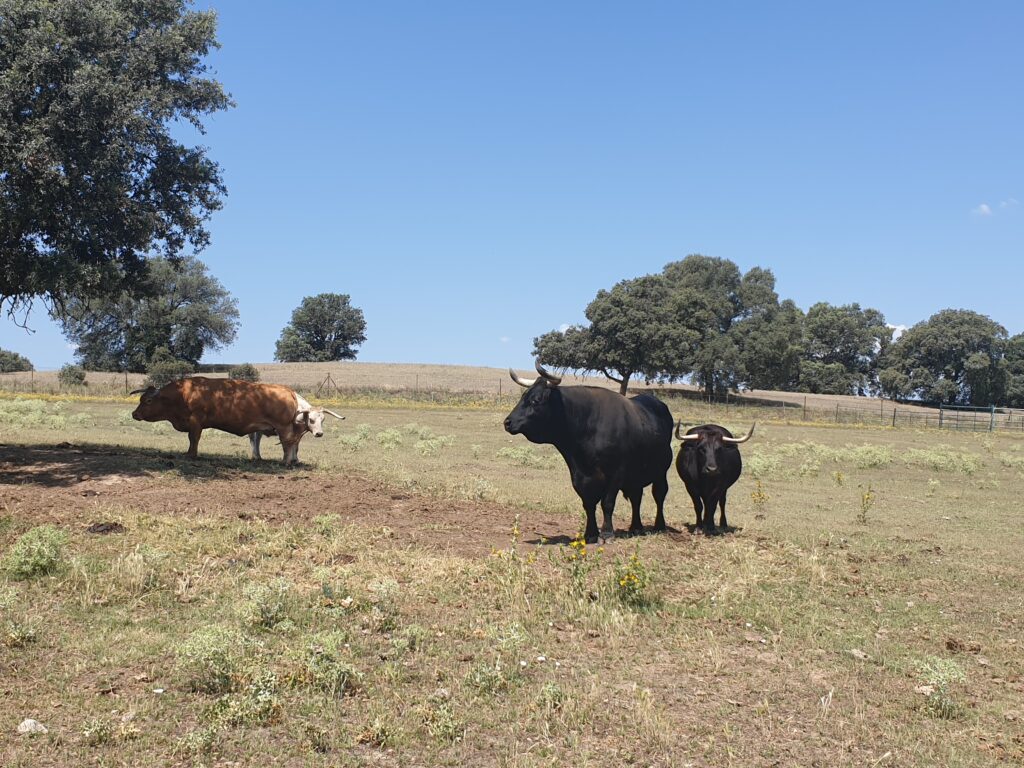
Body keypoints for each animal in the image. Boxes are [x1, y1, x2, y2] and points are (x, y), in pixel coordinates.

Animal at [130, 377, 342, 465]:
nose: (134, 414)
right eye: (141, 399)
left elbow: (193, 439)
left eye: (148, 401)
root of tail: (288, 390)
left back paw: (286, 461)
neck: (184, 394)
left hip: (283, 428)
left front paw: (191, 455)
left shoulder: (195, 422)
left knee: (288, 444)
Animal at [504, 361, 673, 544]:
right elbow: (588, 503)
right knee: (636, 497)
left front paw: (606, 533)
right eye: (523, 396)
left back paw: (659, 525)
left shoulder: (616, 473)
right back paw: (636, 527)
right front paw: (590, 534)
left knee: (659, 494)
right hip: (636, 474)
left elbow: (607, 503)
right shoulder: (579, 475)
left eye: (535, 399)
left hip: (661, 471)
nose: (507, 422)